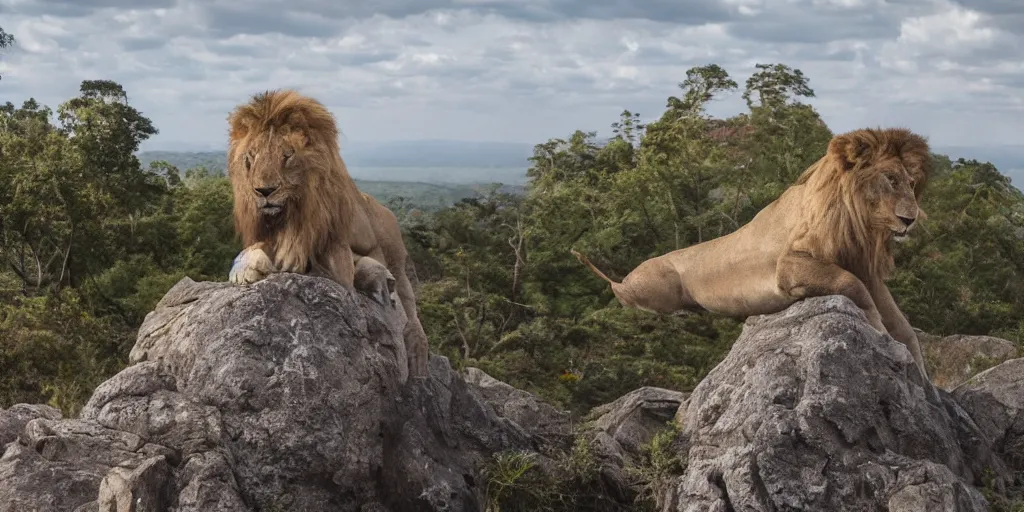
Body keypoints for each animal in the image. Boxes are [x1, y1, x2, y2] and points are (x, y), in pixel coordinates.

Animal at [224, 88, 428, 378]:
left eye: (287, 156)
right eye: (251, 158)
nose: (263, 191)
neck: (291, 213)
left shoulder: (334, 252)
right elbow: (254, 248)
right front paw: (243, 270)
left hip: (394, 247)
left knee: (409, 304)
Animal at [577, 126, 937, 378]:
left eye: (910, 182)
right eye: (889, 179)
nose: (911, 219)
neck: (858, 223)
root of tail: (623, 278)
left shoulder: (866, 269)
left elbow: (903, 325)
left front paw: (922, 376)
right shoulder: (788, 266)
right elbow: (853, 287)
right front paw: (881, 336)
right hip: (658, 282)